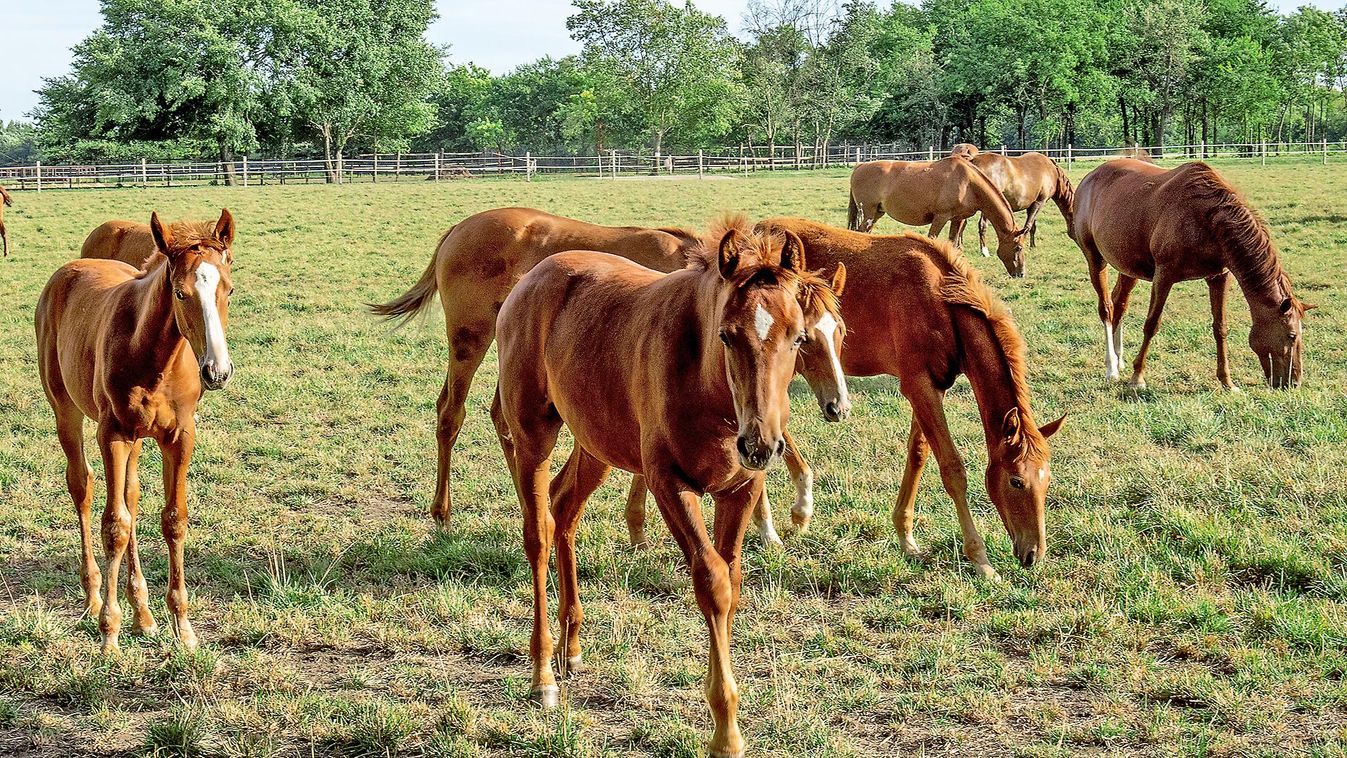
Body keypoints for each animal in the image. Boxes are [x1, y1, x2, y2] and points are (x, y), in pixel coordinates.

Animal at [36, 208, 237, 651]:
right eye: (180, 293)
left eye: (229, 290)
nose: (217, 371)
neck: (153, 355)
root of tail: (70, 268)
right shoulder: (112, 434)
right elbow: (115, 525)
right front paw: (109, 633)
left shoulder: (180, 436)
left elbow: (172, 518)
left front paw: (182, 627)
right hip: (66, 412)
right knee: (83, 487)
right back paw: (94, 597)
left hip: (138, 440)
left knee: (131, 495)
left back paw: (142, 614)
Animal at [495, 220, 808, 758]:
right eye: (727, 336)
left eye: (797, 336)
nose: (761, 445)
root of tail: (531, 278)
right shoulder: (670, 485)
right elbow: (713, 582)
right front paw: (726, 731)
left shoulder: (740, 489)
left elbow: (733, 581)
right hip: (534, 434)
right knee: (538, 532)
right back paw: (543, 675)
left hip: (596, 445)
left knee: (564, 509)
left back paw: (571, 649)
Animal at [845, 157, 1023, 278]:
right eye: (1018, 248)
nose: (1021, 273)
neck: (968, 183)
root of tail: (859, 166)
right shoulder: (940, 218)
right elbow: (932, 240)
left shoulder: (957, 220)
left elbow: (953, 245)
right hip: (868, 214)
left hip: (876, 214)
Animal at [1066, 158, 1309, 387]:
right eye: (1291, 335)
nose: (1293, 382)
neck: (1205, 217)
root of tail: (1090, 177)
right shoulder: (1164, 276)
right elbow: (1151, 324)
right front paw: (1138, 378)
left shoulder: (1219, 277)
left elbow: (1220, 328)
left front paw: (1227, 381)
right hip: (1095, 259)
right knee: (1107, 309)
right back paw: (1111, 368)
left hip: (1128, 268)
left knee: (1119, 305)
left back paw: (1119, 360)